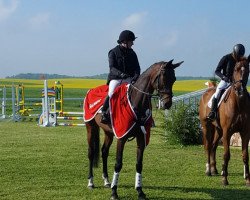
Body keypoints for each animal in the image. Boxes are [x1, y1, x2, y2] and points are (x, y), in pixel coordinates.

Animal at [83, 60, 182, 199]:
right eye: (164, 77)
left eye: (174, 79)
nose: (167, 104)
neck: (136, 102)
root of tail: (91, 90)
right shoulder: (121, 137)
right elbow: (118, 164)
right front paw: (114, 192)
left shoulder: (141, 138)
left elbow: (139, 164)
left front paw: (140, 191)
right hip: (90, 127)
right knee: (91, 152)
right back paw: (91, 182)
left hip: (108, 132)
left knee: (104, 152)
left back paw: (107, 181)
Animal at [199, 56, 250, 186]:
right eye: (236, 69)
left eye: (247, 69)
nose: (240, 89)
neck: (238, 103)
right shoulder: (227, 132)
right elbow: (226, 155)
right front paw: (225, 179)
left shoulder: (245, 132)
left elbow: (245, 155)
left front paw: (247, 179)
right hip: (207, 126)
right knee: (208, 146)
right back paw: (208, 170)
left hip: (218, 130)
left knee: (213, 146)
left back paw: (214, 169)